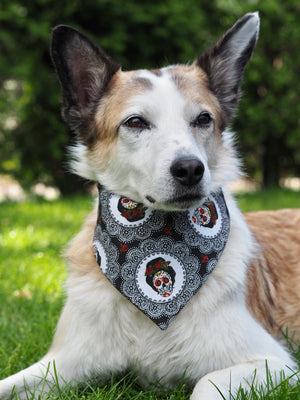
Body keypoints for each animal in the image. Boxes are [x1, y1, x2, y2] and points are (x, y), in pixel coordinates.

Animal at [0, 12, 300, 400]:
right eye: (136, 122)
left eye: (203, 119)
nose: (190, 169)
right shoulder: (62, 364)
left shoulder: (275, 364)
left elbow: (206, 383)